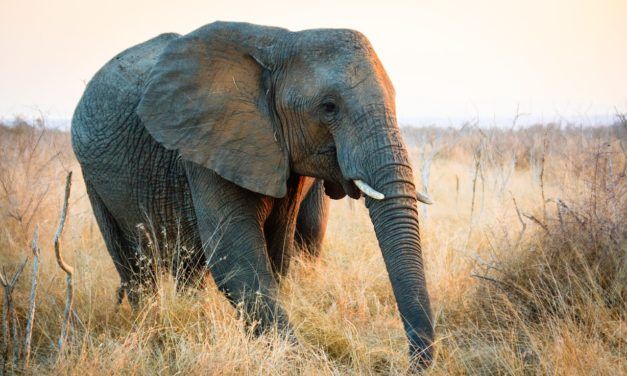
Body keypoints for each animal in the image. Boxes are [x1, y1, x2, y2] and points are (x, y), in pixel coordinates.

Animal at [71, 21, 434, 368]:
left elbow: (275, 254)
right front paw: (297, 360)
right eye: (329, 107)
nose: (412, 362)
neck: (280, 44)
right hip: (92, 177)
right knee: (133, 268)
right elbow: (236, 257)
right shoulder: (211, 141)